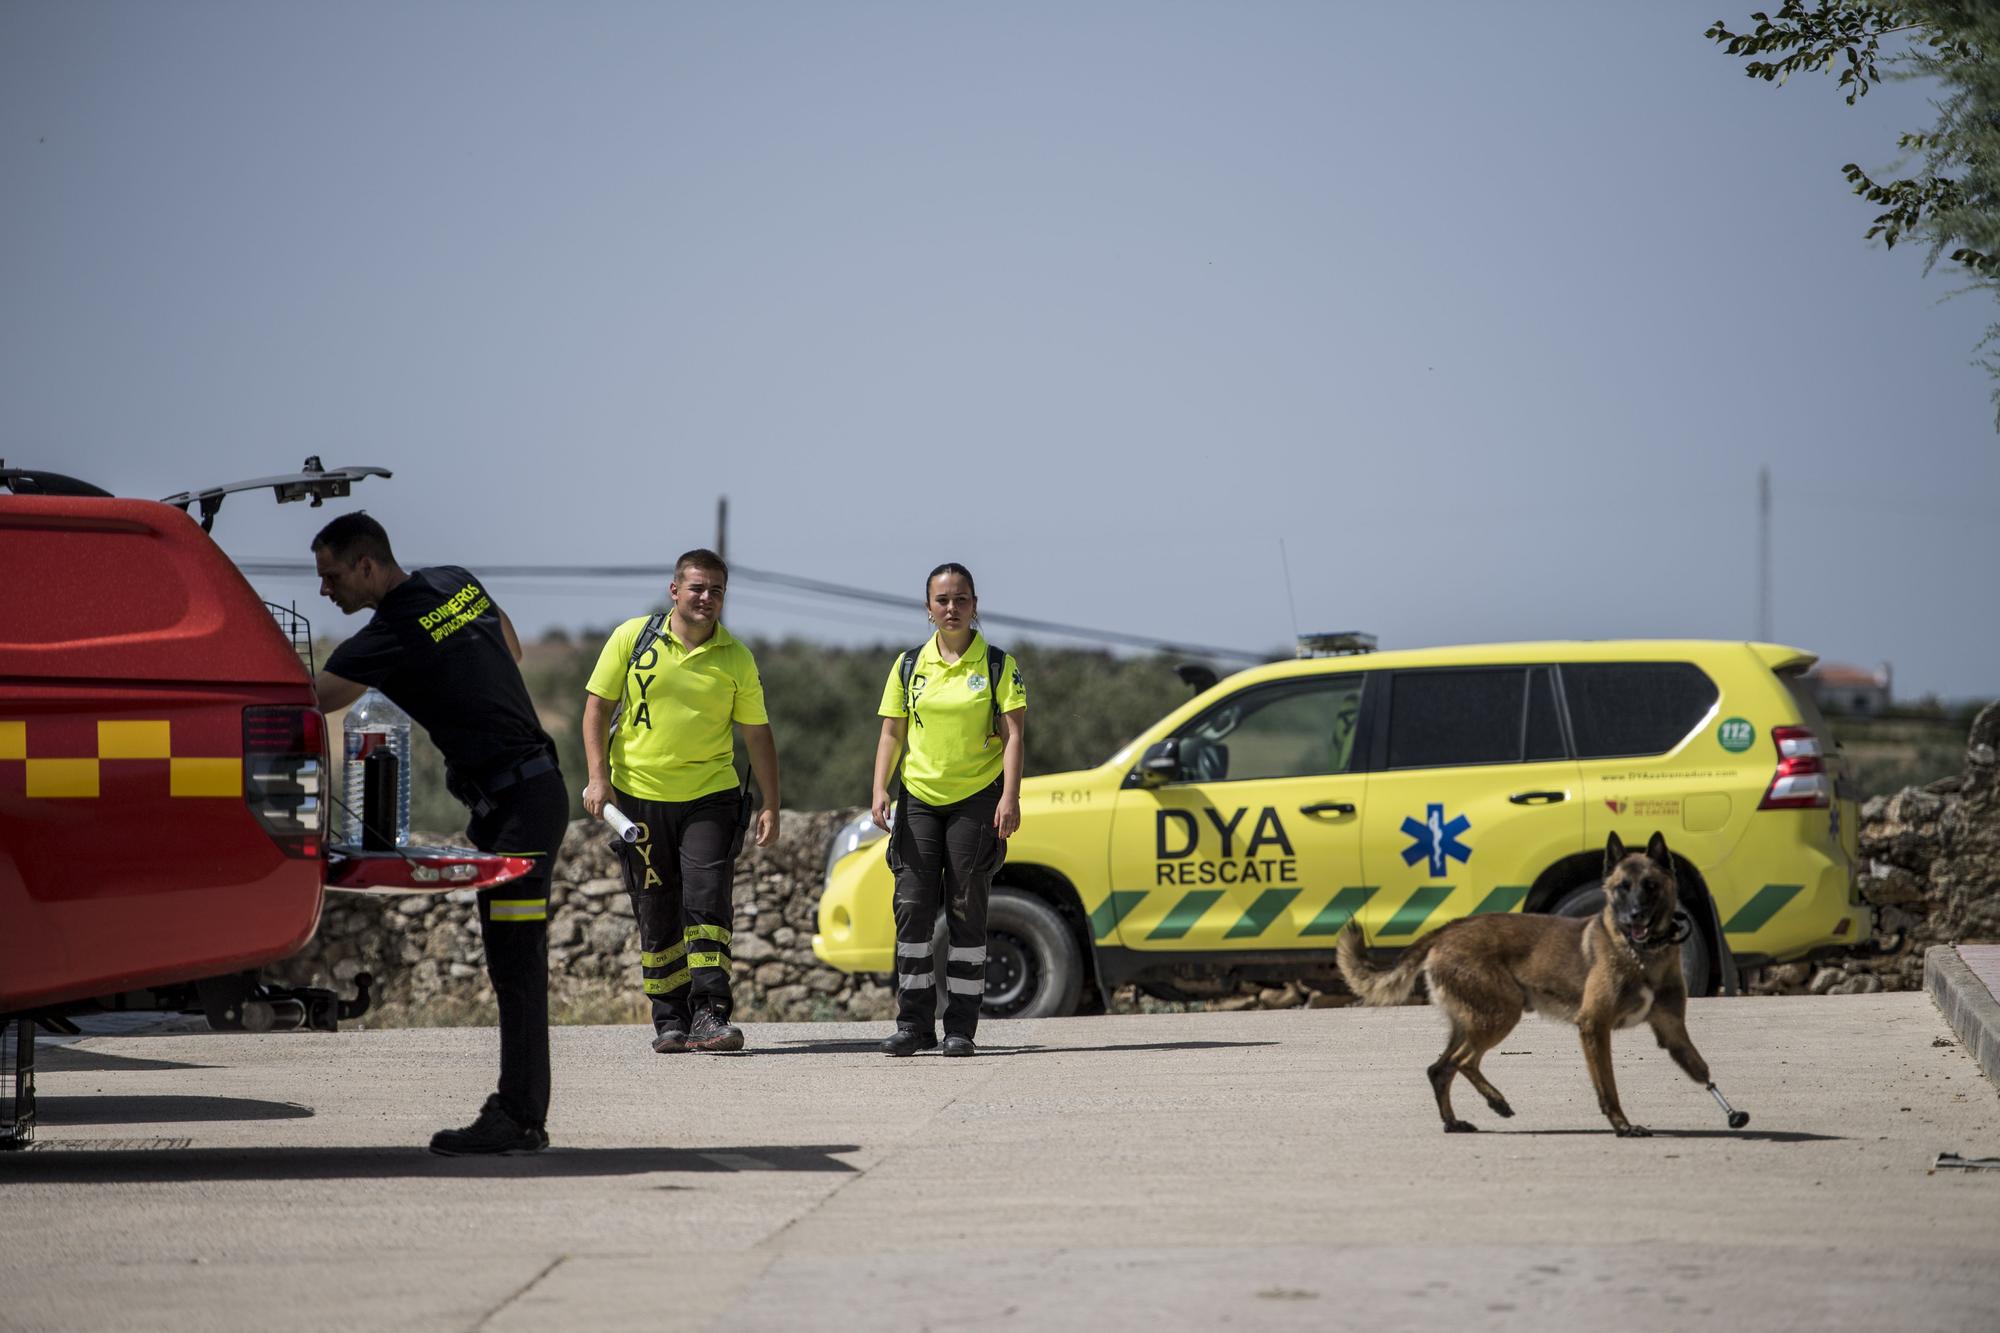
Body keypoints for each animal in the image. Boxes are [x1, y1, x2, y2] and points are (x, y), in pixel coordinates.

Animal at [1344, 832, 1752, 1128]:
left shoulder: (1672, 1031)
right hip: (1499, 1014)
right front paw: (1622, 1126)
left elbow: (1701, 1070)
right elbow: (1608, 1087)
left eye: (1650, 885)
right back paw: (1490, 1103)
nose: (1634, 916)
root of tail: (1448, 929)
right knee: (1458, 1064)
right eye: (1622, 887)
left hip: (1475, 1019)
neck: (1640, 953)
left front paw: (1730, 1111)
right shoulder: (1594, 1027)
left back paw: (1456, 1121)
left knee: (1443, 1068)